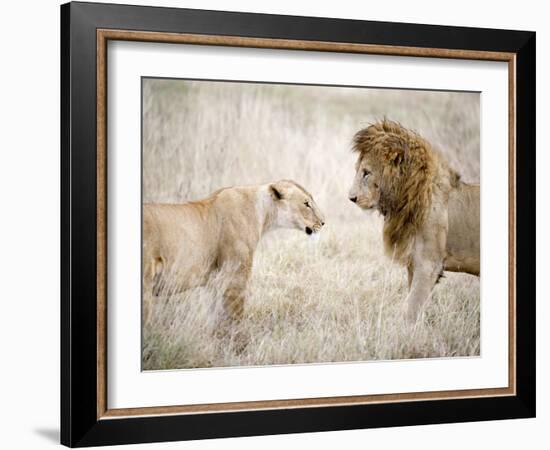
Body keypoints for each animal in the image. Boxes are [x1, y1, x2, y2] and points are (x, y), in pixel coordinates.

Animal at [142, 179, 326, 324]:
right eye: (306, 203)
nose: (323, 222)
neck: (263, 213)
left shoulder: (215, 283)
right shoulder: (235, 278)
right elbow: (234, 320)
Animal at [352, 119, 480, 324]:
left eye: (366, 173)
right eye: (358, 171)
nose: (351, 198)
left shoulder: (428, 265)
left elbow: (410, 309)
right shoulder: (414, 263)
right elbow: (413, 304)